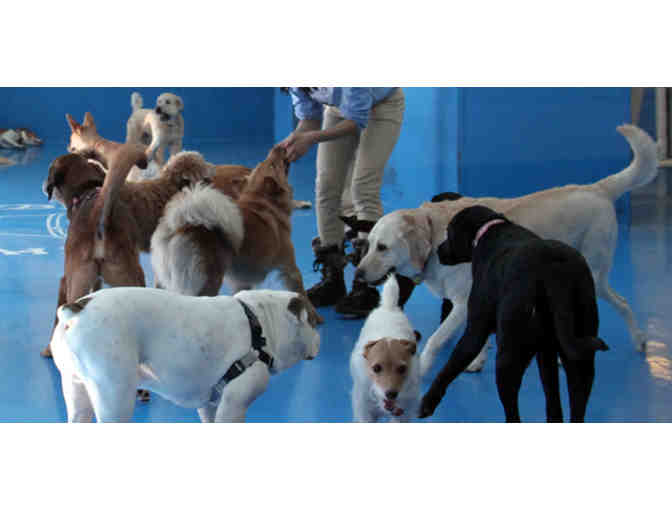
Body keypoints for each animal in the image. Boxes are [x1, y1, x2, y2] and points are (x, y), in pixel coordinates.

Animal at [50, 287, 320, 422]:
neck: (260, 323)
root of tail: (75, 310)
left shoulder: (212, 405)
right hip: (113, 396)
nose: (320, 337)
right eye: (315, 322)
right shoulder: (234, 405)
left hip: (76, 391)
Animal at [150, 145, 323, 325]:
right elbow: (302, 294)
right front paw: (314, 317)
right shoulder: (290, 268)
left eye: (265, 161)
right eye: (273, 164)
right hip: (208, 282)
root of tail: (179, 225)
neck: (262, 201)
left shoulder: (242, 281)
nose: (278, 147)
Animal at [350, 276, 420, 422]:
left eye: (402, 368)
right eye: (376, 368)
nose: (391, 394)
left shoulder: (404, 415)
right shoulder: (364, 411)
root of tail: (389, 306)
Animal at [355, 124, 658, 376]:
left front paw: (425, 367)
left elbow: (436, 339)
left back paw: (629, 342)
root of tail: (598, 189)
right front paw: (477, 361)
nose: (357, 274)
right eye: (368, 245)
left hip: (591, 277)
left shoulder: (463, 303)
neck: (434, 234)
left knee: (619, 303)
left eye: (382, 247)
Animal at [419, 205, 609, 422]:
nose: (438, 250)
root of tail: (554, 270)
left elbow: (449, 367)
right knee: (568, 409)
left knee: (513, 414)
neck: (489, 230)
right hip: (580, 357)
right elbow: (553, 398)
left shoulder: (475, 329)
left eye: (449, 232)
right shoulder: (546, 352)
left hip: (508, 357)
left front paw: (427, 402)